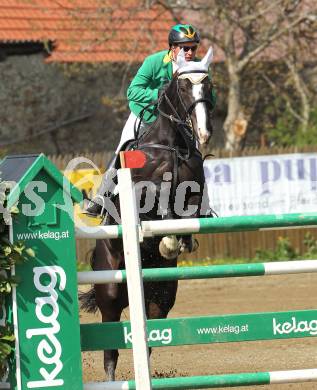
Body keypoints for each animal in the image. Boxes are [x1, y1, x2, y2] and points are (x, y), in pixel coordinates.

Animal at [80, 47, 215, 380]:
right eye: (183, 86)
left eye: (209, 86)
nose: (205, 133)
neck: (171, 145)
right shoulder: (142, 193)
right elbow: (160, 199)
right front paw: (168, 241)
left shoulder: (195, 191)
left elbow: (188, 210)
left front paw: (180, 241)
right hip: (110, 294)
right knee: (110, 349)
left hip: (160, 297)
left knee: (151, 337)